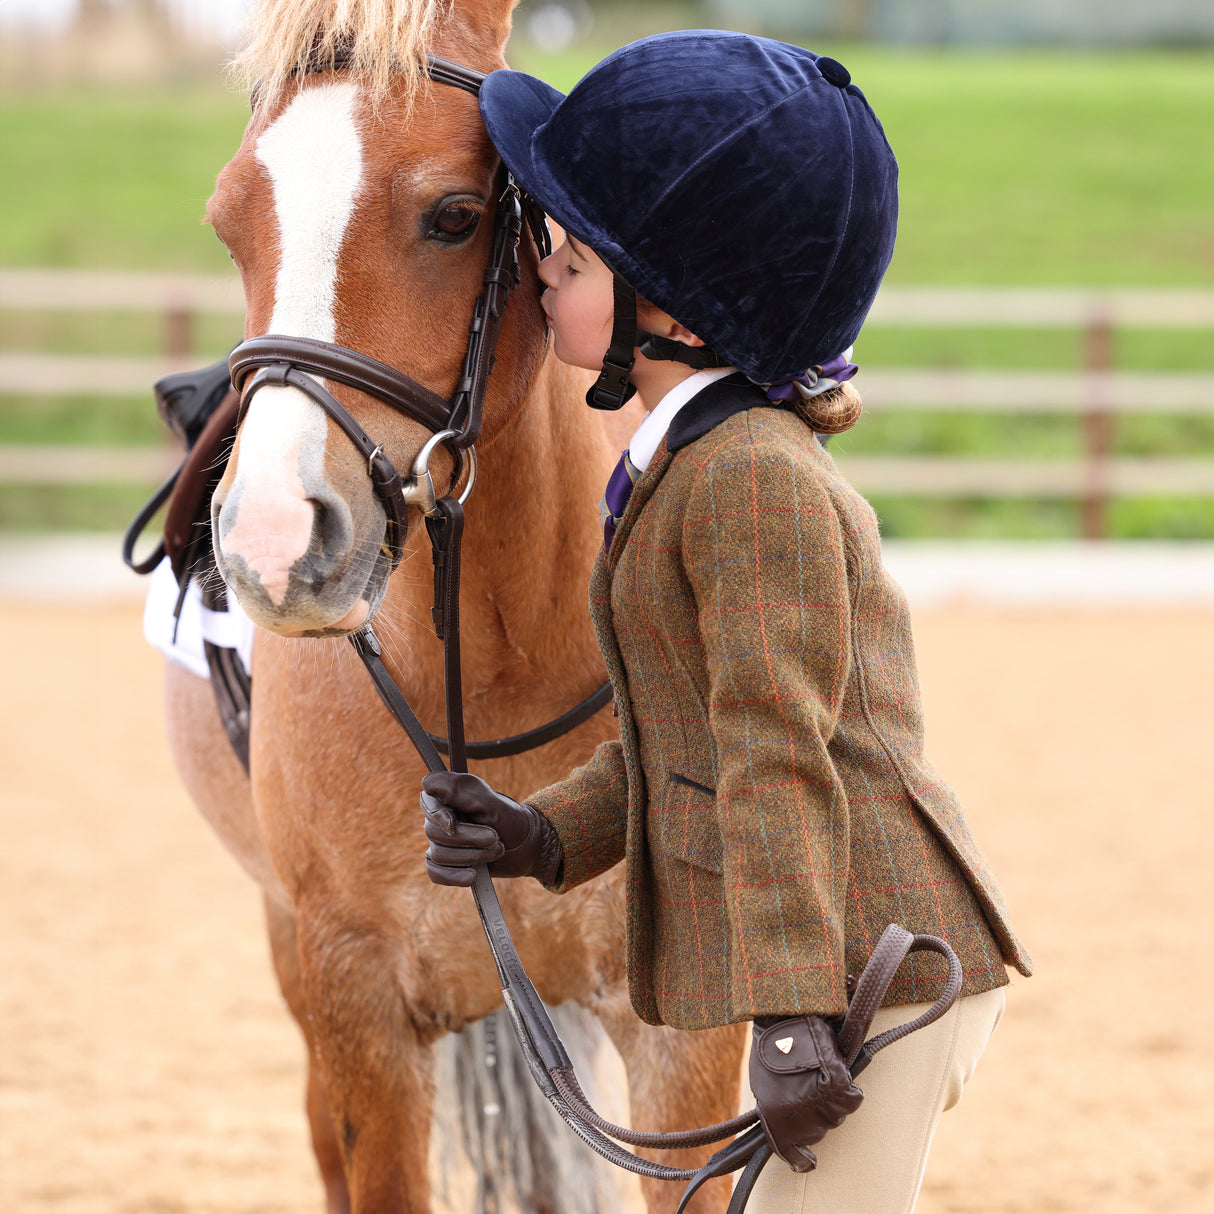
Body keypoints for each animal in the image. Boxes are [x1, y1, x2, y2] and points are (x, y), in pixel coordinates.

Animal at [166, 2, 742, 1214]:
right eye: (231, 224)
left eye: (455, 215)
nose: (272, 542)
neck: (498, 653)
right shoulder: (359, 1009)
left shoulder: (682, 1038)